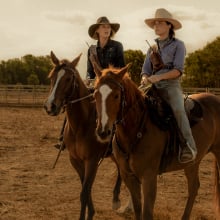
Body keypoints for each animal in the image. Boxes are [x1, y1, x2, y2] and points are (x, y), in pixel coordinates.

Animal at [43, 51, 122, 218]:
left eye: (68, 79)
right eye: (51, 77)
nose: (50, 106)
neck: (81, 125)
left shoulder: (92, 161)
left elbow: (84, 193)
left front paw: (88, 214)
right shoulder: (76, 160)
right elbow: (85, 188)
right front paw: (91, 212)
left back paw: (118, 201)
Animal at [93, 64, 220, 220]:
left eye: (116, 95)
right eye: (95, 94)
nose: (103, 132)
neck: (137, 129)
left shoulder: (149, 177)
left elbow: (147, 212)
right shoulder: (128, 176)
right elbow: (137, 210)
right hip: (192, 163)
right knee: (194, 187)